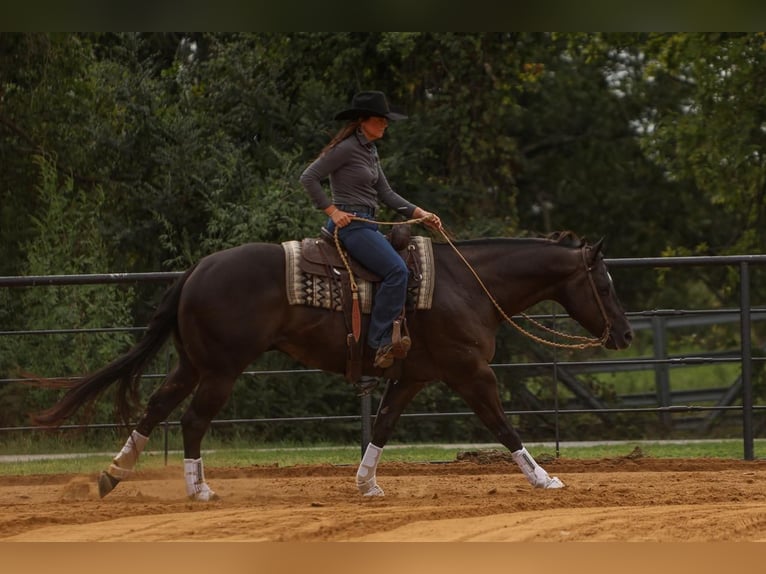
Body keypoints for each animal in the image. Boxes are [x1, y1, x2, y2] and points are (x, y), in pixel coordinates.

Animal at [33, 230, 632, 500]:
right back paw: (198, 490)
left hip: (193, 364)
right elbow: (503, 425)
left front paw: (366, 483)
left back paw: (111, 475)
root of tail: (197, 270)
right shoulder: (470, 373)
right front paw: (546, 478)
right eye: (604, 284)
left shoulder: (412, 377)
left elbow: (384, 426)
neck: (467, 286)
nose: (624, 334)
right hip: (222, 370)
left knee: (156, 408)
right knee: (192, 420)